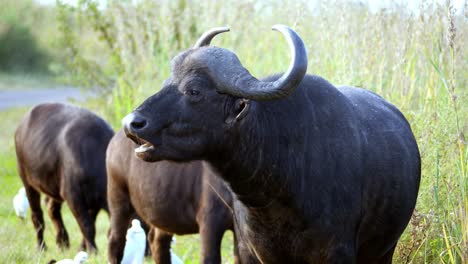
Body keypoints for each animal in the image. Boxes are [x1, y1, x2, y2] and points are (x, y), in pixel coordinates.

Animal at [14, 102, 113, 252]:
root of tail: (21, 125)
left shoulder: (94, 202)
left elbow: (90, 224)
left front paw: (82, 248)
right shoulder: (72, 196)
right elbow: (87, 225)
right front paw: (92, 250)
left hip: (54, 186)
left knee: (51, 208)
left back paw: (62, 242)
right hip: (27, 181)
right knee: (37, 216)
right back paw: (41, 247)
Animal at [106, 130, 238, 264]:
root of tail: (116, 138)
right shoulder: (210, 222)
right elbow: (209, 258)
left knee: (157, 241)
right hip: (118, 199)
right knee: (115, 240)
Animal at [122, 25, 422, 264]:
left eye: (194, 90)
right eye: (167, 82)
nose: (131, 123)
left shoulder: (337, 252)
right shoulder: (254, 252)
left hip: (384, 250)